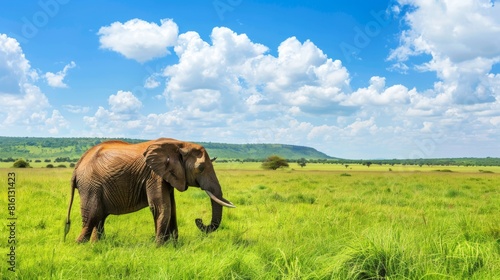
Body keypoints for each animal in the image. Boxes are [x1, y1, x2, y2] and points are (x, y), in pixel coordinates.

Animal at [64, 138, 234, 245]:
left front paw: (172, 245)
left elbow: (172, 208)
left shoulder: (167, 176)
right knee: (92, 216)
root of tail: (77, 166)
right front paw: (159, 247)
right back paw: (78, 245)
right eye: (201, 168)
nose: (198, 220)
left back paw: (97, 245)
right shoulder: (154, 175)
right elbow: (161, 207)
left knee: (99, 217)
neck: (180, 143)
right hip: (90, 185)